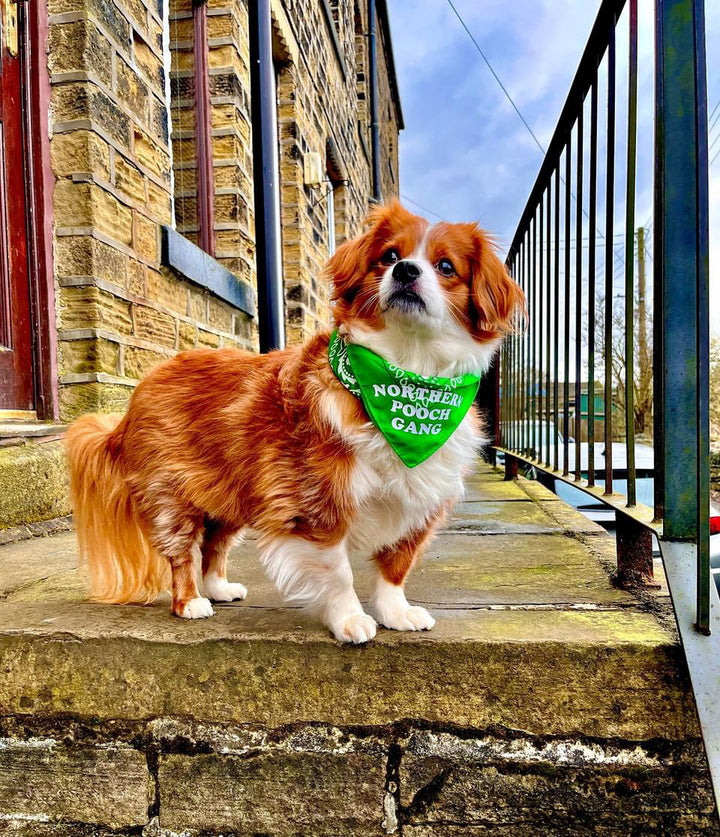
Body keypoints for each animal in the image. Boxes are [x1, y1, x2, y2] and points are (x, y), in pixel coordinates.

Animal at [66, 199, 524, 644]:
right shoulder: (314, 502)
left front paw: (396, 612)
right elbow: (338, 571)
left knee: (215, 544)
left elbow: (396, 565)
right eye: (389, 257)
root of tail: (139, 394)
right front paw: (350, 620)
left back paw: (218, 588)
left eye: (446, 266)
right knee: (183, 550)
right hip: (173, 497)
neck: (408, 370)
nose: (405, 270)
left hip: (232, 494)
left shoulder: (418, 503)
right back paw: (191, 601)